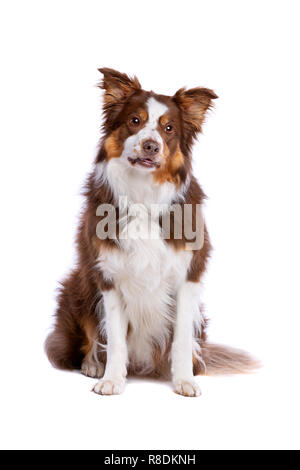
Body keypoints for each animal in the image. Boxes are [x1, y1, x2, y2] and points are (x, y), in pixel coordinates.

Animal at [45, 68, 258, 394]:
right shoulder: (108, 277)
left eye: (168, 128)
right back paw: (93, 365)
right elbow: (115, 339)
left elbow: (181, 339)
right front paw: (112, 380)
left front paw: (184, 380)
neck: (143, 196)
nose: (151, 145)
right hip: (77, 285)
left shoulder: (188, 276)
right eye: (135, 120)